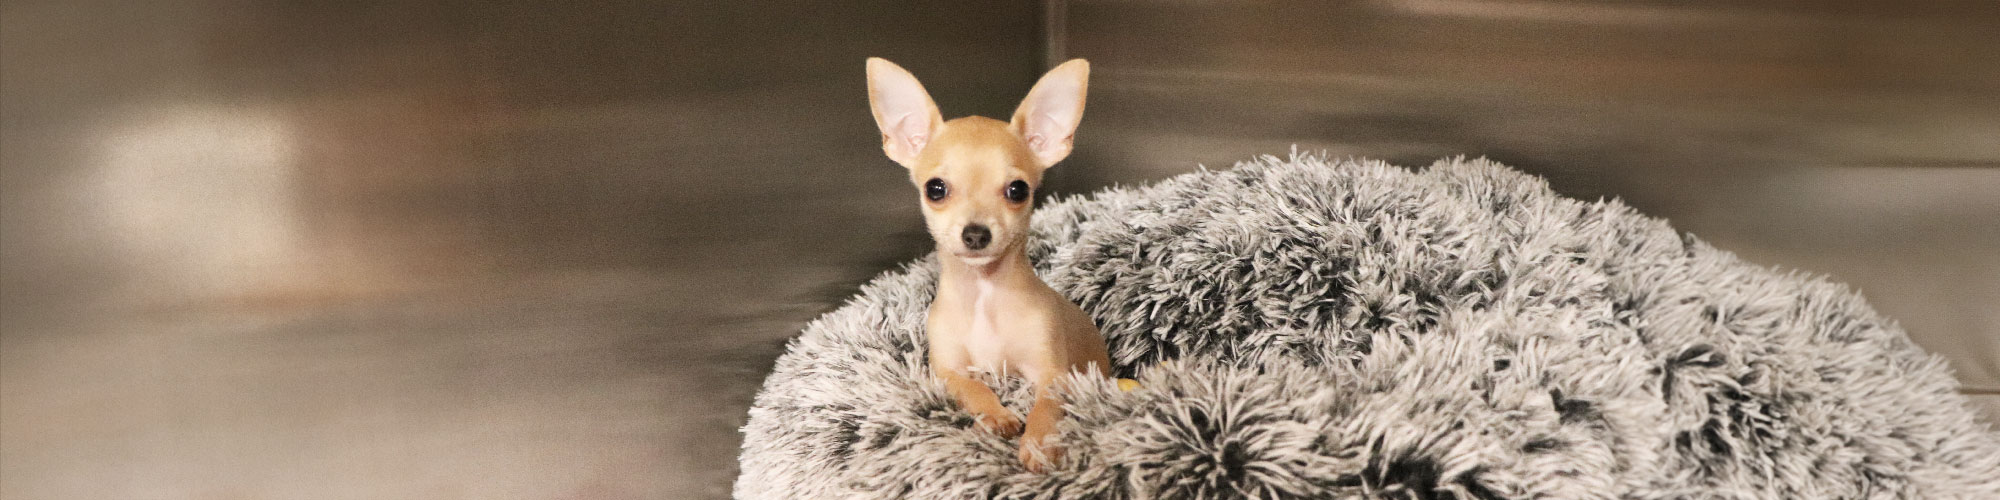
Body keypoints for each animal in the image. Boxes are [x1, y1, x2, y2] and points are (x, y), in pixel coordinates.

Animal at [865, 57, 1114, 472]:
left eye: (1018, 190)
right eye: (935, 189)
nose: (976, 234)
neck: (984, 292)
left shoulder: (1052, 374)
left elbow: (1046, 407)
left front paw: (1039, 444)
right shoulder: (946, 370)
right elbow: (973, 386)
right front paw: (996, 416)